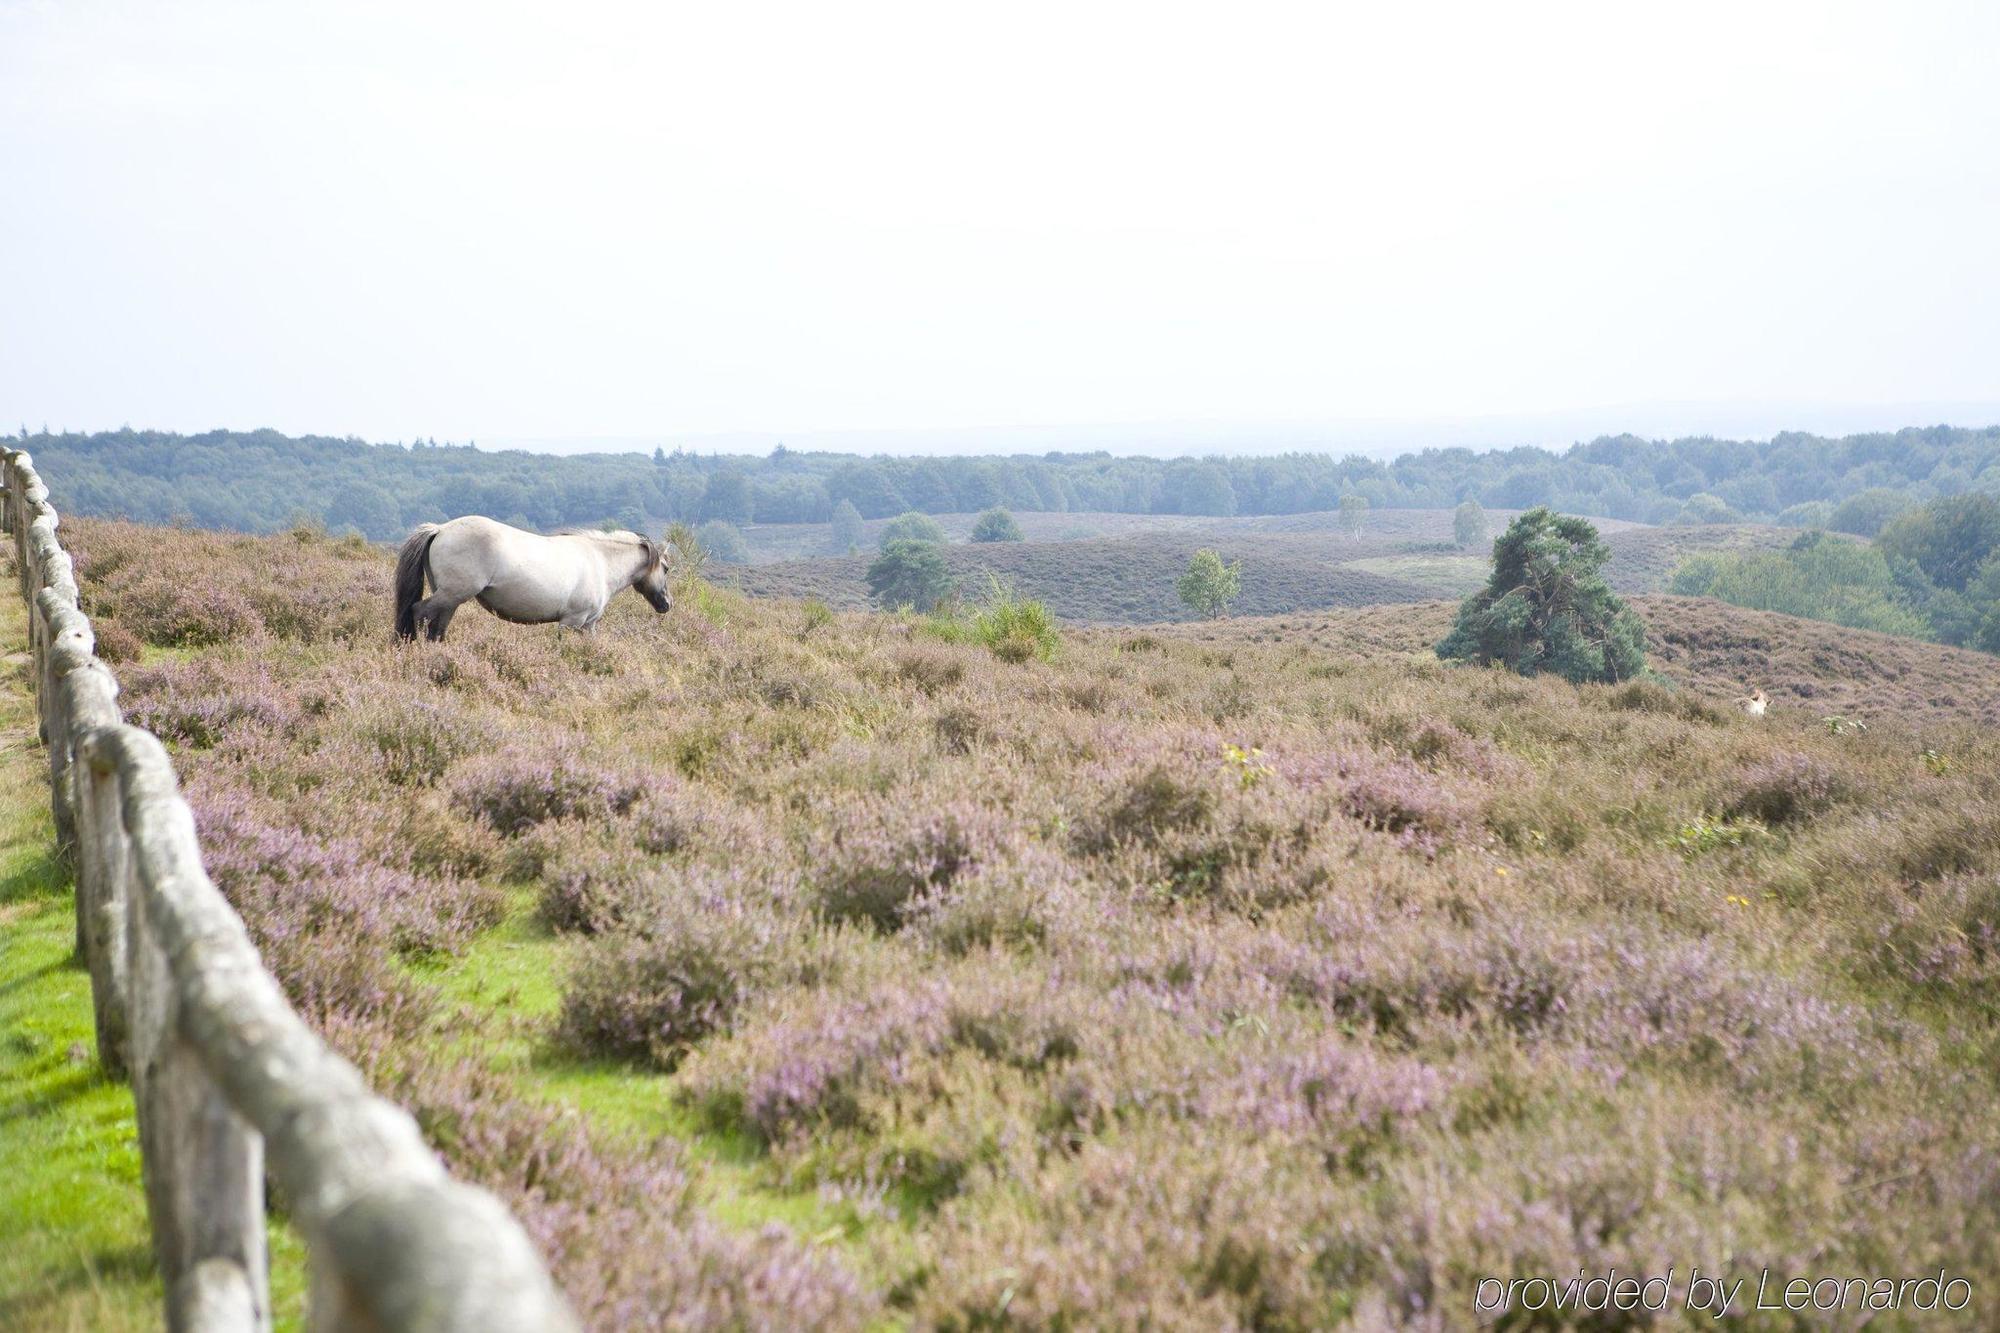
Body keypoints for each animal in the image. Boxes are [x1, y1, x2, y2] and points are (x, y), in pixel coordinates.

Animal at [392, 516, 672, 640]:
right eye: (667, 568)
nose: (668, 604)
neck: (600, 561)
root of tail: (440, 529)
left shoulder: (587, 625)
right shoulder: (571, 622)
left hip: (450, 599)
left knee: (437, 627)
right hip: (452, 594)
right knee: (418, 612)